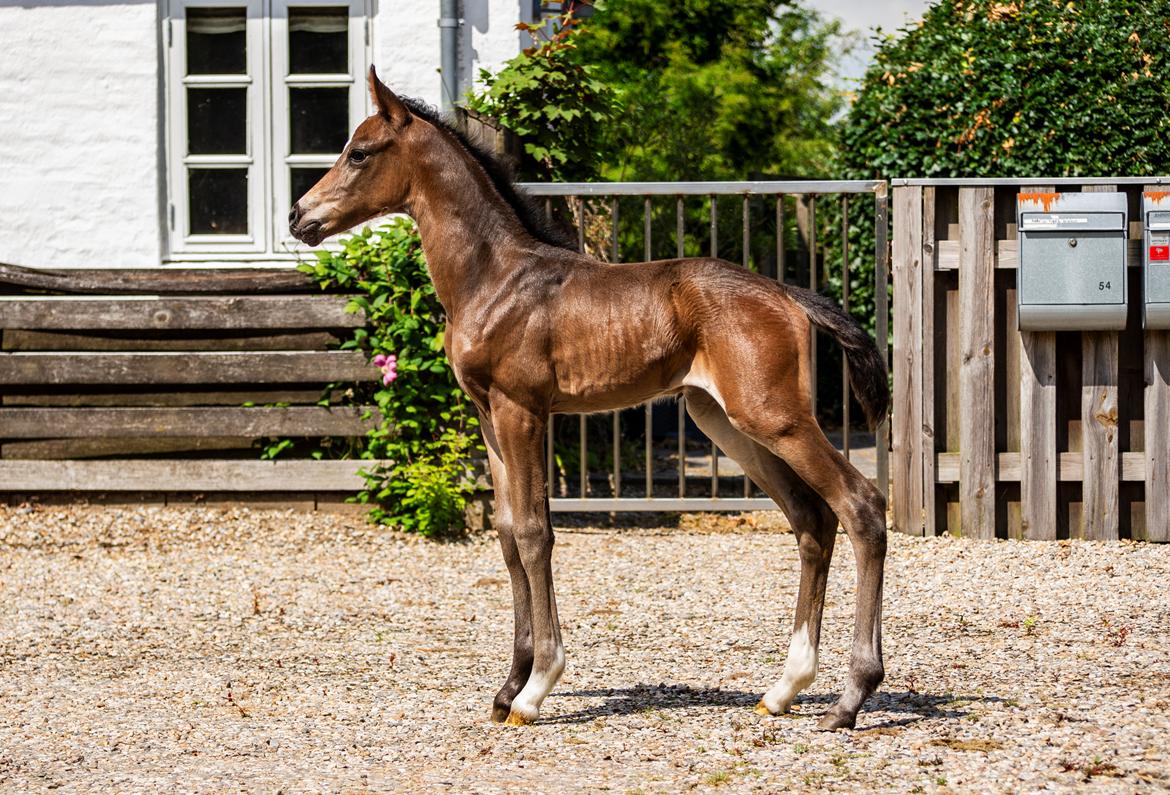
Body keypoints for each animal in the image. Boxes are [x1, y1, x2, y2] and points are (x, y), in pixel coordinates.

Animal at [290, 69, 884, 735]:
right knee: (811, 519)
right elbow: (506, 535)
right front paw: (507, 687)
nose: (298, 216)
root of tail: (786, 293)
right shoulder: (488, 417)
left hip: (773, 417)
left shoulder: (522, 411)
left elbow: (534, 533)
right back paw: (784, 687)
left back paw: (850, 697)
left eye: (359, 153)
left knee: (860, 505)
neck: (495, 278)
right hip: (726, 421)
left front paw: (535, 688)